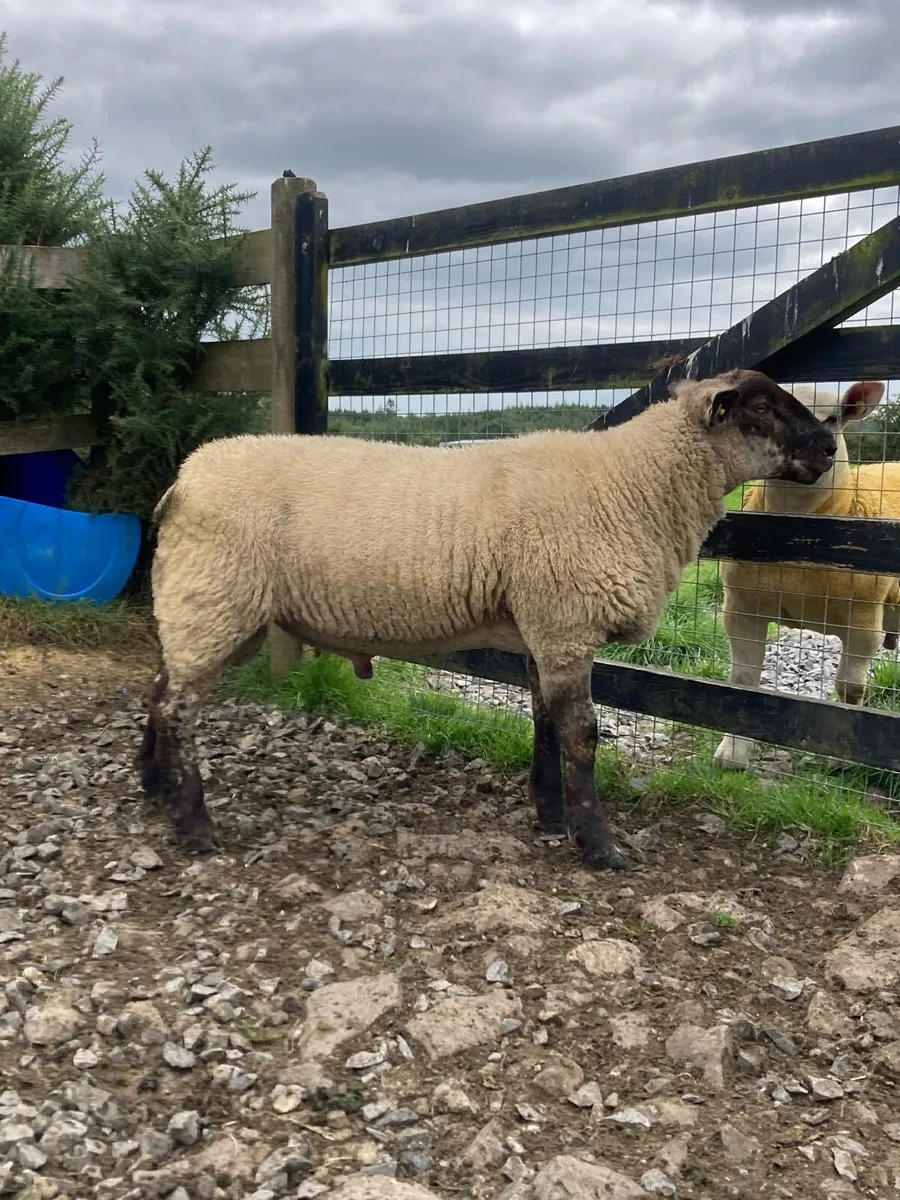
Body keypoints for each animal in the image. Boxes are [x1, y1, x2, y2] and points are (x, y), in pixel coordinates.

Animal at [137, 368, 836, 869]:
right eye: (761, 407)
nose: (830, 444)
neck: (631, 485)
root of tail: (183, 481)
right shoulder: (565, 623)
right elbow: (582, 734)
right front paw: (599, 846)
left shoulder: (543, 628)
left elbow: (546, 724)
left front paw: (551, 816)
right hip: (215, 597)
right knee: (176, 706)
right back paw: (193, 825)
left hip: (206, 603)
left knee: (159, 690)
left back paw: (155, 788)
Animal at [713, 379, 900, 771]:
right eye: (766, 411)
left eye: (833, 419)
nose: (815, 452)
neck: (799, 535)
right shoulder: (742, 608)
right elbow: (743, 680)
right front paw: (733, 752)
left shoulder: (864, 621)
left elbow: (850, 689)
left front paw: (841, 756)